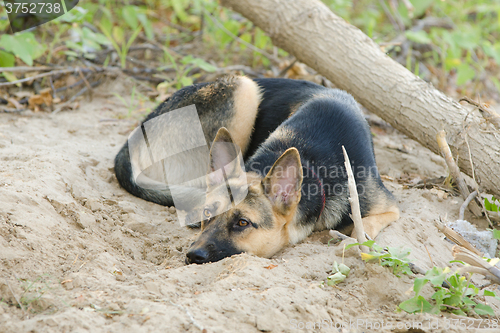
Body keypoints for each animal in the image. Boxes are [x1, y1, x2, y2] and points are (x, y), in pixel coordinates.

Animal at [114, 76, 398, 264]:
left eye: (242, 223)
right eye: (208, 213)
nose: (193, 255)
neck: (311, 162)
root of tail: (133, 138)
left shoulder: (390, 209)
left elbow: (365, 226)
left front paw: (352, 242)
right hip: (244, 90)